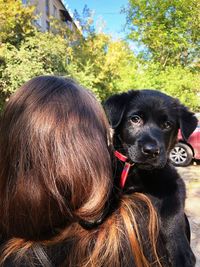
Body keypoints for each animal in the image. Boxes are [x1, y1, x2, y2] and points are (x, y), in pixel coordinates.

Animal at [104, 90, 197, 267]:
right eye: (135, 119)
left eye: (167, 124)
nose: (151, 150)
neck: (138, 171)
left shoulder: (175, 183)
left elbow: (172, 214)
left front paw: (180, 251)